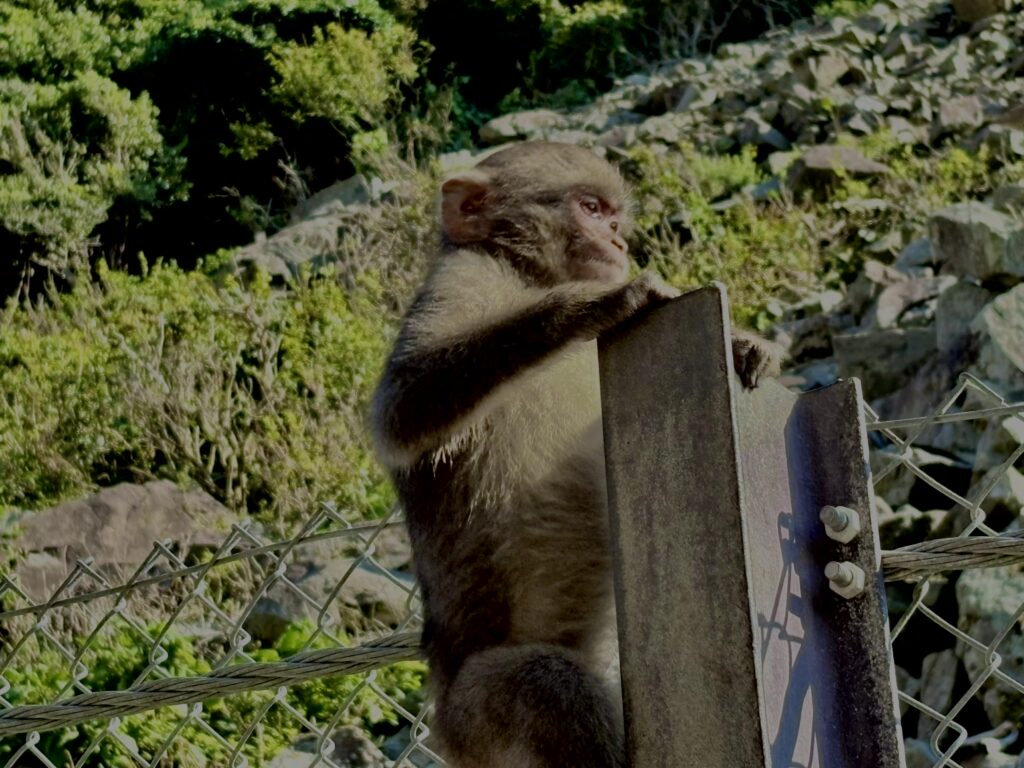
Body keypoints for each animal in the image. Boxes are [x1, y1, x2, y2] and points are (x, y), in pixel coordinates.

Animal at [371, 141, 780, 768]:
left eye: (614, 218)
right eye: (590, 208)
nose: (617, 242)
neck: (526, 276)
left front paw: (745, 346)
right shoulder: (462, 278)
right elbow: (403, 407)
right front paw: (594, 304)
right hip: (474, 717)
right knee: (545, 684)